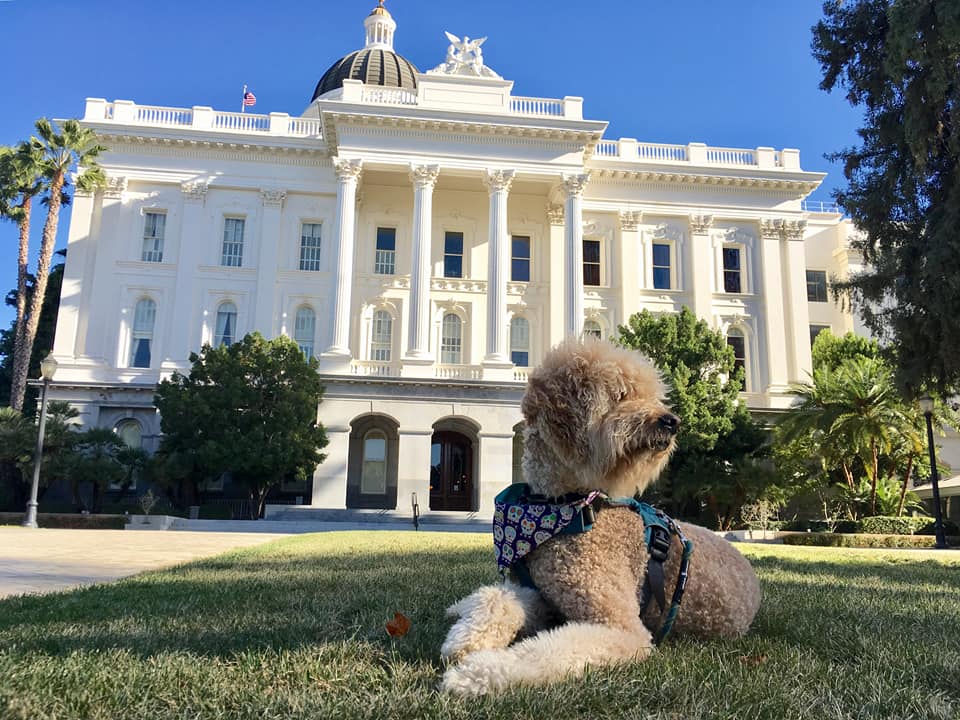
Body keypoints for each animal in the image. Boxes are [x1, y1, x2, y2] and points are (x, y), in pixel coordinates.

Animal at [438, 338, 760, 696]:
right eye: (621, 394)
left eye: (652, 395)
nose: (671, 421)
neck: (566, 508)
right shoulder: (542, 595)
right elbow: (495, 596)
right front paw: (464, 637)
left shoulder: (622, 628)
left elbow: (547, 651)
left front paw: (475, 673)